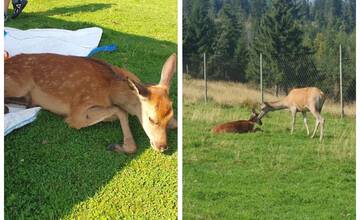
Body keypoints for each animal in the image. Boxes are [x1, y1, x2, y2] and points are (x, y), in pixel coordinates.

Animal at [3, 52, 176, 153]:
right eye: (151, 119)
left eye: (168, 117)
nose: (163, 146)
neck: (111, 89)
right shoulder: (77, 111)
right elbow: (120, 110)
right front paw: (118, 146)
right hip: (18, 85)